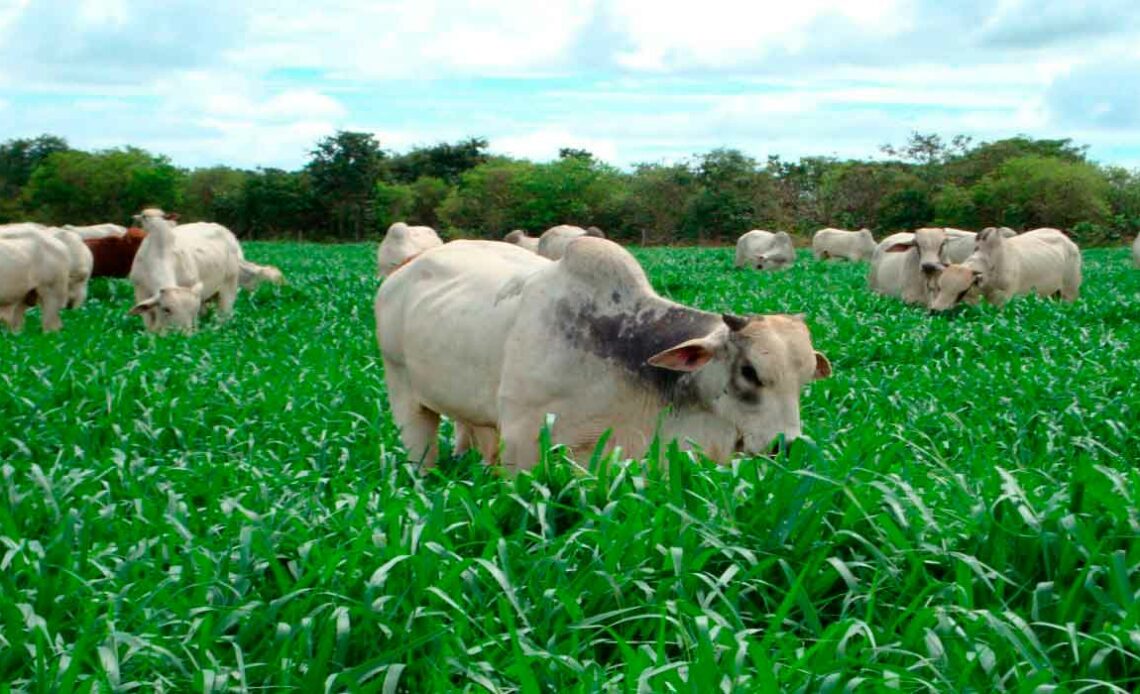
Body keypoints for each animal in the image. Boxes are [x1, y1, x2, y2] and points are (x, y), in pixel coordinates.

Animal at [378, 238, 834, 471]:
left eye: (804, 380)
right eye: (750, 371)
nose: (787, 446)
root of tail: (405, 266)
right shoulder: (523, 440)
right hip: (404, 395)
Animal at [930, 227, 1080, 312]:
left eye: (963, 291)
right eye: (940, 287)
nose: (936, 311)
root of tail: (1069, 241)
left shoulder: (1003, 300)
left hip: (1069, 293)